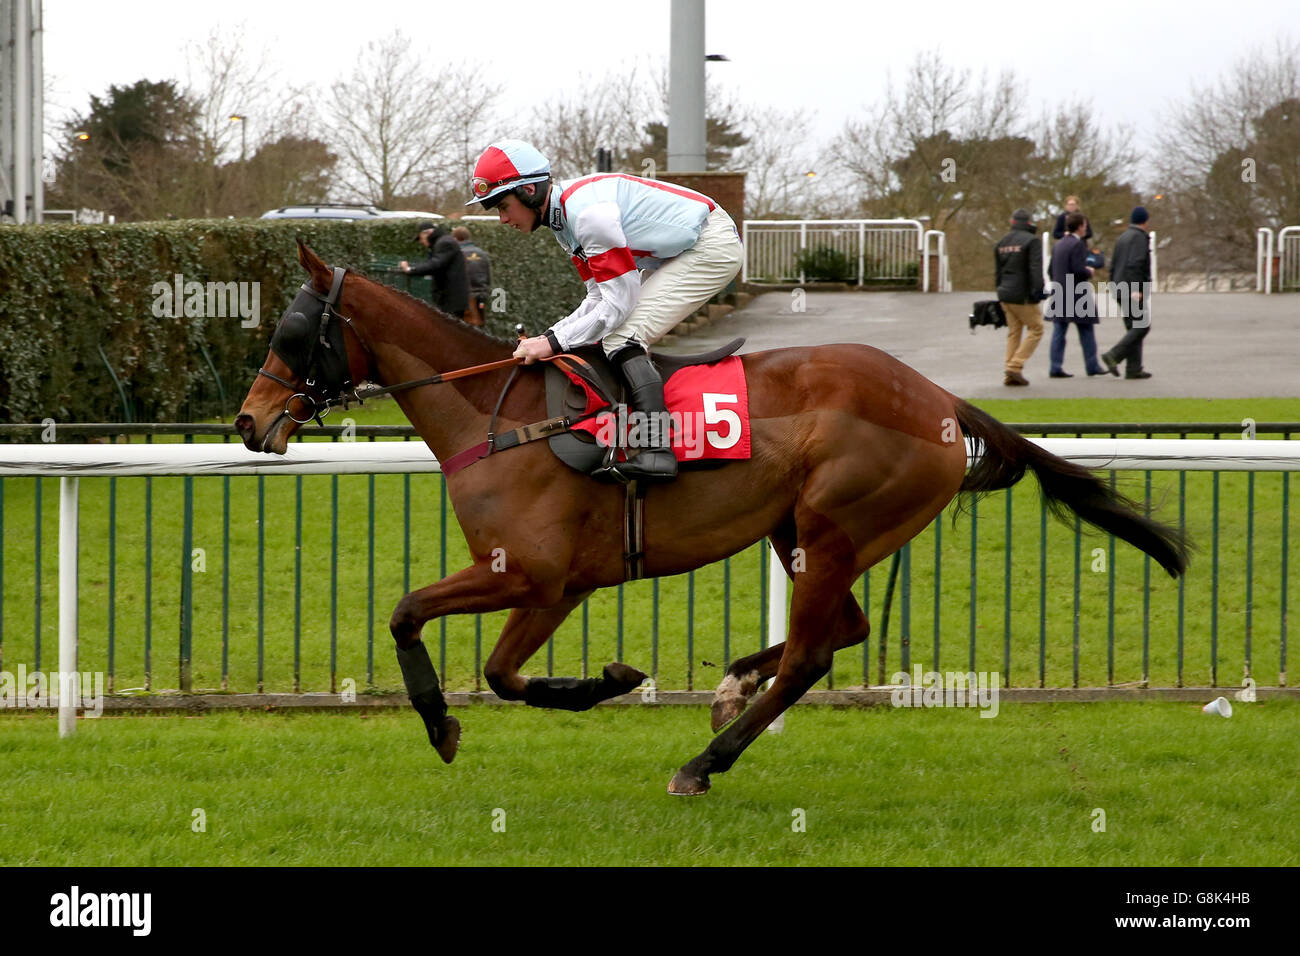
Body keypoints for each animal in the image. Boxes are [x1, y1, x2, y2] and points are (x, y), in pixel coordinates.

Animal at [233, 243, 1190, 796]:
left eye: (292, 335)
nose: (248, 422)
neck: (500, 417)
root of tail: (941, 400)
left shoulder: (536, 576)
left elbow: (443, 638)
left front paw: (465, 719)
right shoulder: (540, 583)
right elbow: (462, 651)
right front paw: (584, 686)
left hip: (838, 524)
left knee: (812, 653)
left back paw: (706, 762)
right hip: (801, 530)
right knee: (838, 629)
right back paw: (731, 686)